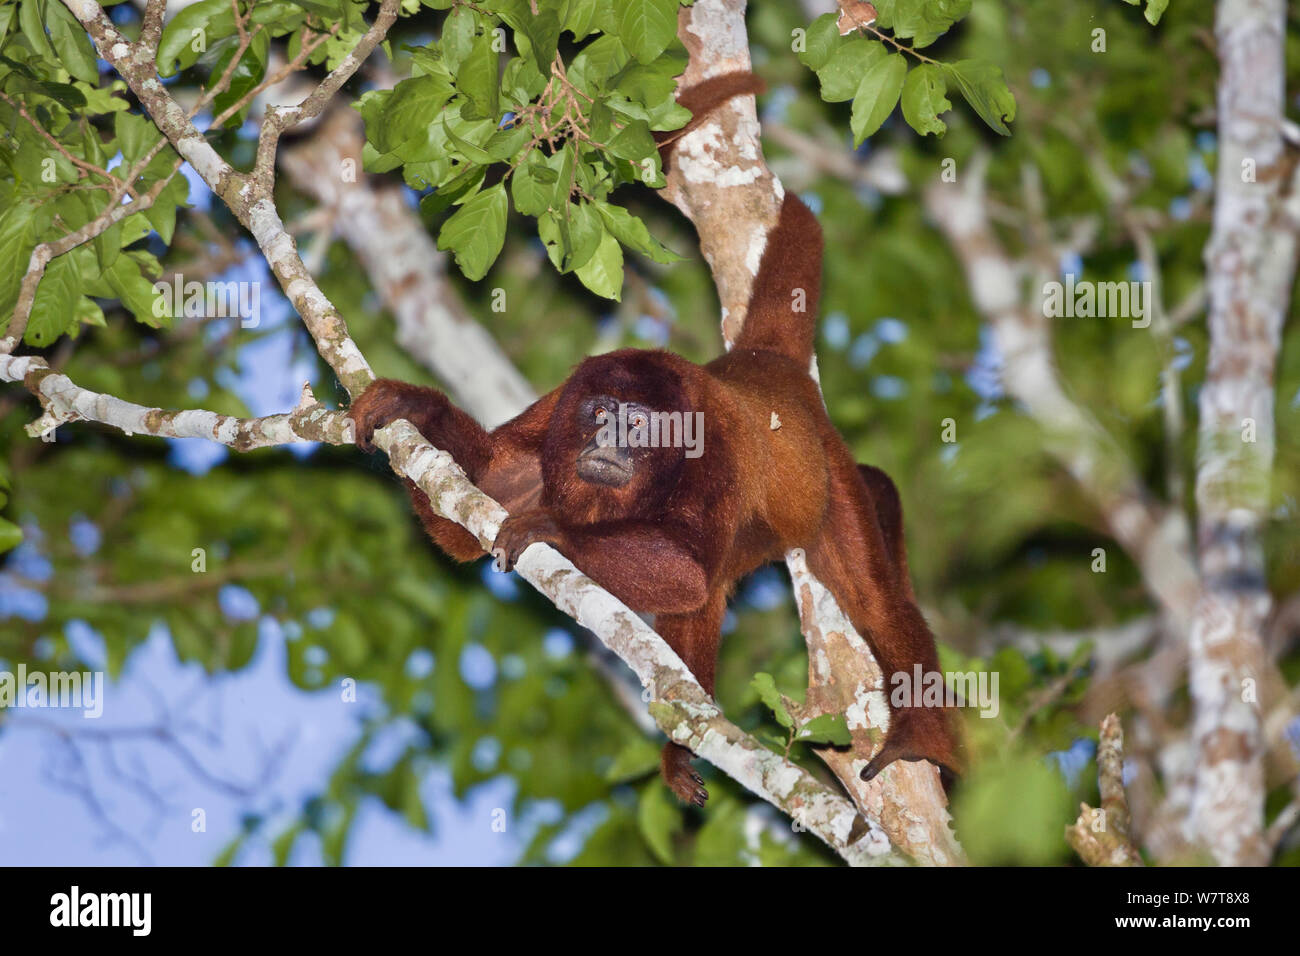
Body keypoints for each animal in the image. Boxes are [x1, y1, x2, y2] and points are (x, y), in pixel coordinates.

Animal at [351, 76, 961, 806]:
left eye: (639, 424)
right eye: (602, 411)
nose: (608, 443)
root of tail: (760, 366)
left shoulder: (716, 448)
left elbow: (687, 570)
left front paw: (551, 529)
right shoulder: (559, 407)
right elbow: (475, 511)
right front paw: (417, 407)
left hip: (826, 473)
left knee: (873, 595)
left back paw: (918, 735)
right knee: (704, 604)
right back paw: (681, 743)